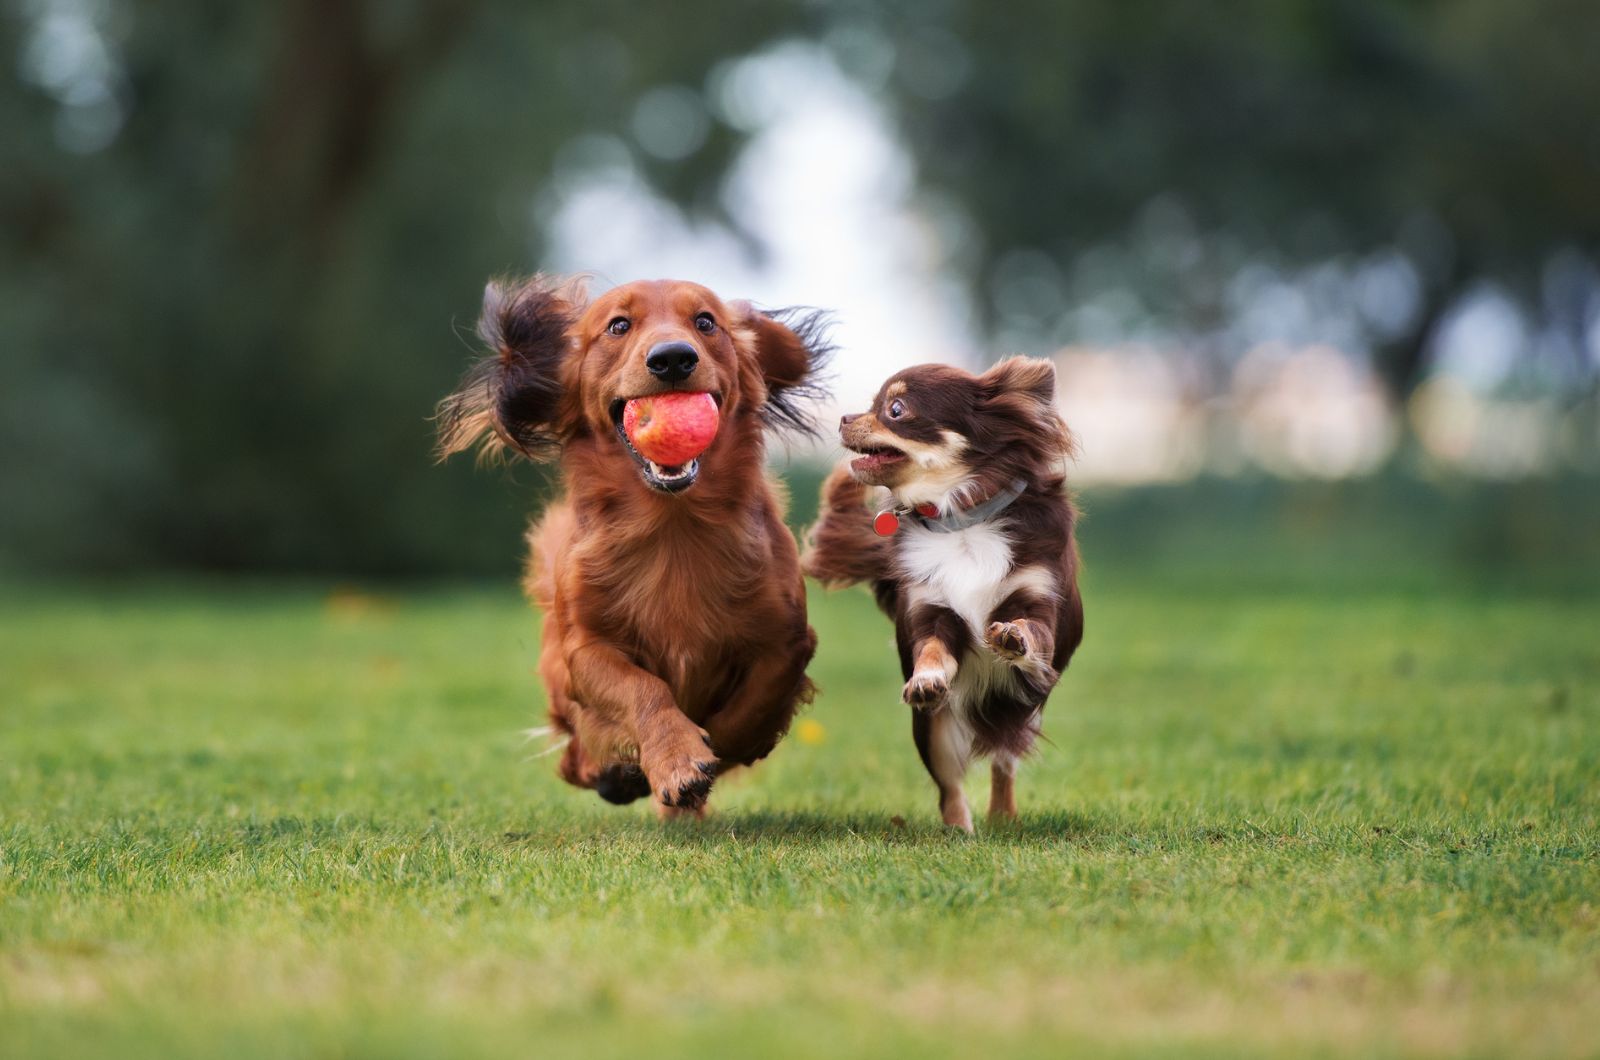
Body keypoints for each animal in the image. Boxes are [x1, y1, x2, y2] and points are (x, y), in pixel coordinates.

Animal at [441, 275, 838, 819]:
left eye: (706, 321)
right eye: (618, 325)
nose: (672, 358)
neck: (673, 526)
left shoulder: (787, 638)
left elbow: (751, 705)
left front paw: (713, 751)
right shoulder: (585, 650)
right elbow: (642, 689)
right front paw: (676, 759)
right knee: (573, 757)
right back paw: (616, 773)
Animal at [806, 361, 1081, 832]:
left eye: (895, 409)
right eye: (874, 403)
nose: (844, 417)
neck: (961, 520)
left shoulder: (1038, 601)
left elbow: (1031, 630)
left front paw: (1013, 638)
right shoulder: (931, 611)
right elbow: (933, 649)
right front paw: (927, 679)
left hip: (1023, 711)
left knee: (1003, 762)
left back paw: (1003, 817)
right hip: (933, 731)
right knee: (950, 786)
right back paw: (959, 831)